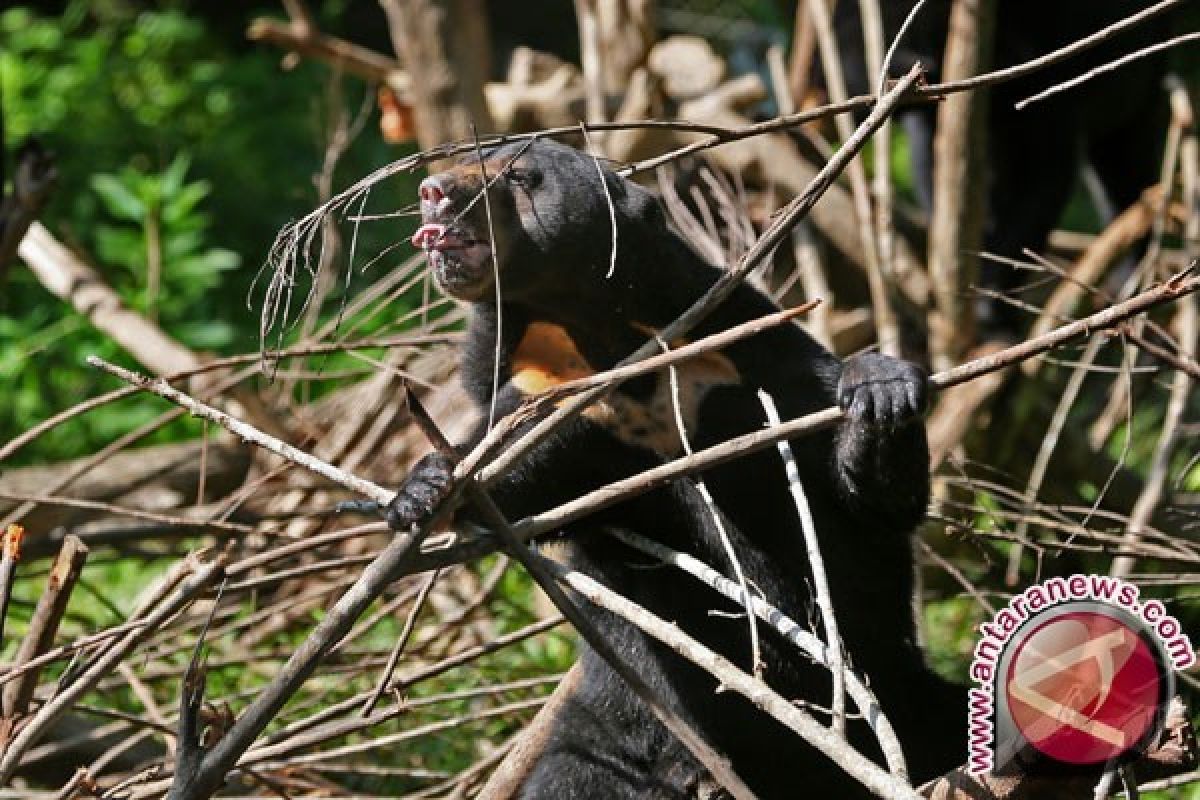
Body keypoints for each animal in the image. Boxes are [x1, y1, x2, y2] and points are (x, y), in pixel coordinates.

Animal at [384, 140, 964, 796]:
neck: (598, 336)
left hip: (901, 699)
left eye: (519, 176)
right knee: (576, 771)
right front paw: (423, 490)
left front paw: (881, 391)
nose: (434, 191)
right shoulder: (550, 396)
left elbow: (856, 499)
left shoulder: (738, 347)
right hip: (619, 728)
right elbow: (507, 472)